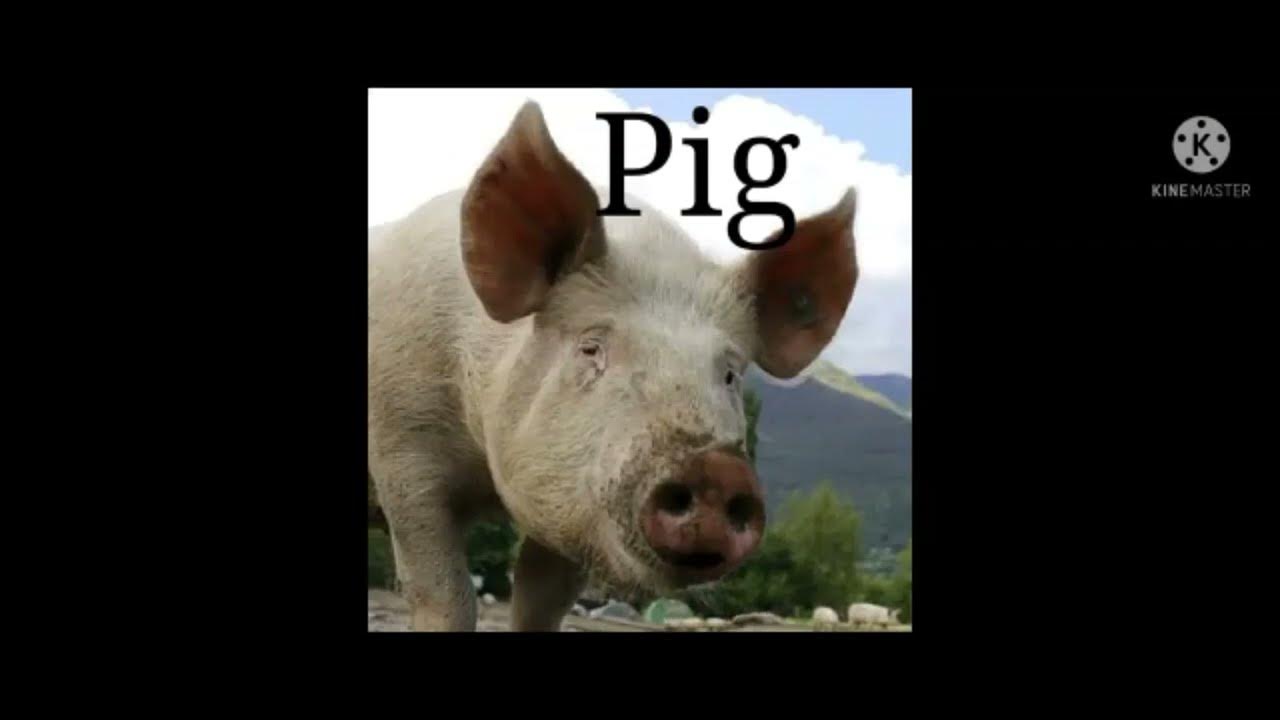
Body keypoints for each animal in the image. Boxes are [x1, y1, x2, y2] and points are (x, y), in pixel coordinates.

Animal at [368, 100, 860, 631]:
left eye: (729, 373)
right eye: (592, 348)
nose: (715, 469)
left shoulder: (571, 507)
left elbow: (541, 601)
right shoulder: (402, 452)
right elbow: (445, 593)